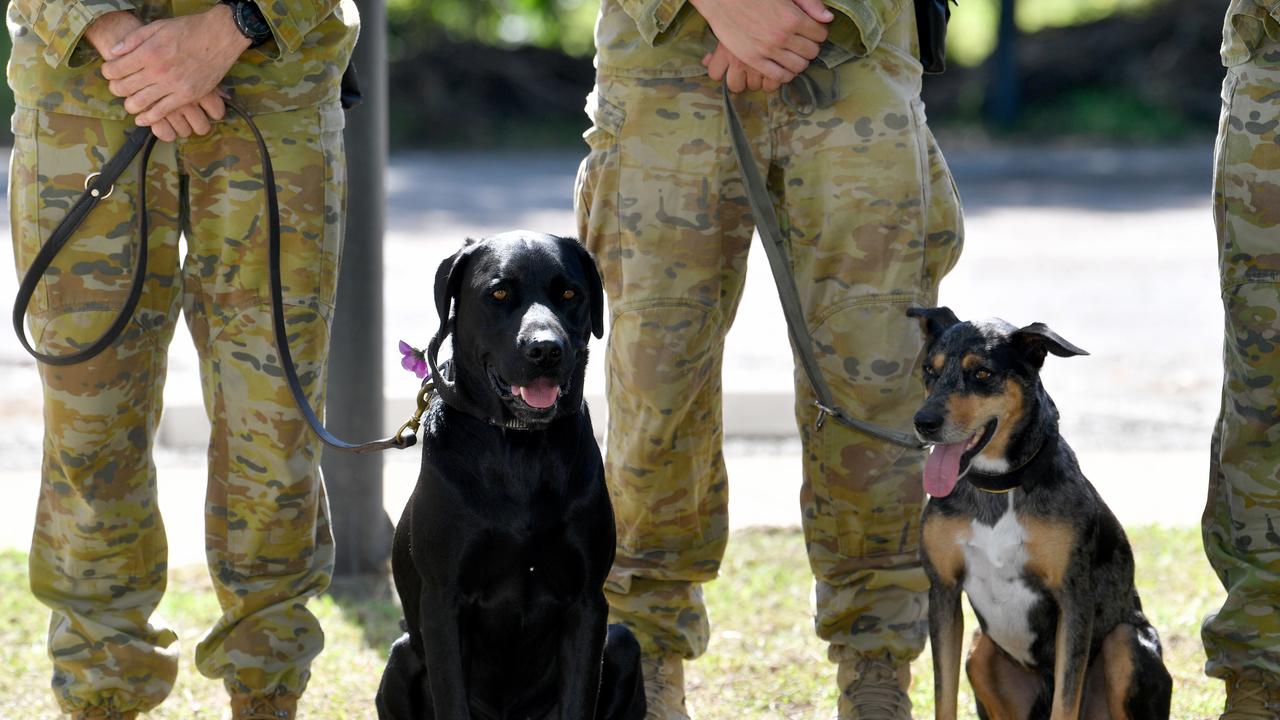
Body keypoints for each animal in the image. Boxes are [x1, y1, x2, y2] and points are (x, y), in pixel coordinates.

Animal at [373, 230, 645, 717]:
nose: (545, 350)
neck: (520, 447)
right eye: (498, 294)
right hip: (401, 656)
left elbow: (578, 700)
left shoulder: (587, 603)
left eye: (570, 295)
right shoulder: (443, 602)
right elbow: (452, 700)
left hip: (623, 643)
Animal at [901, 304, 1172, 717]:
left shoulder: (1074, 597)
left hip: (1125, 642)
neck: (1000, 487)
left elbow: (1066, 698)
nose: (924, 423)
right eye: (930, 370)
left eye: (982, 373)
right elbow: (943, 694)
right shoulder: (943, 590)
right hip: (980, 649)